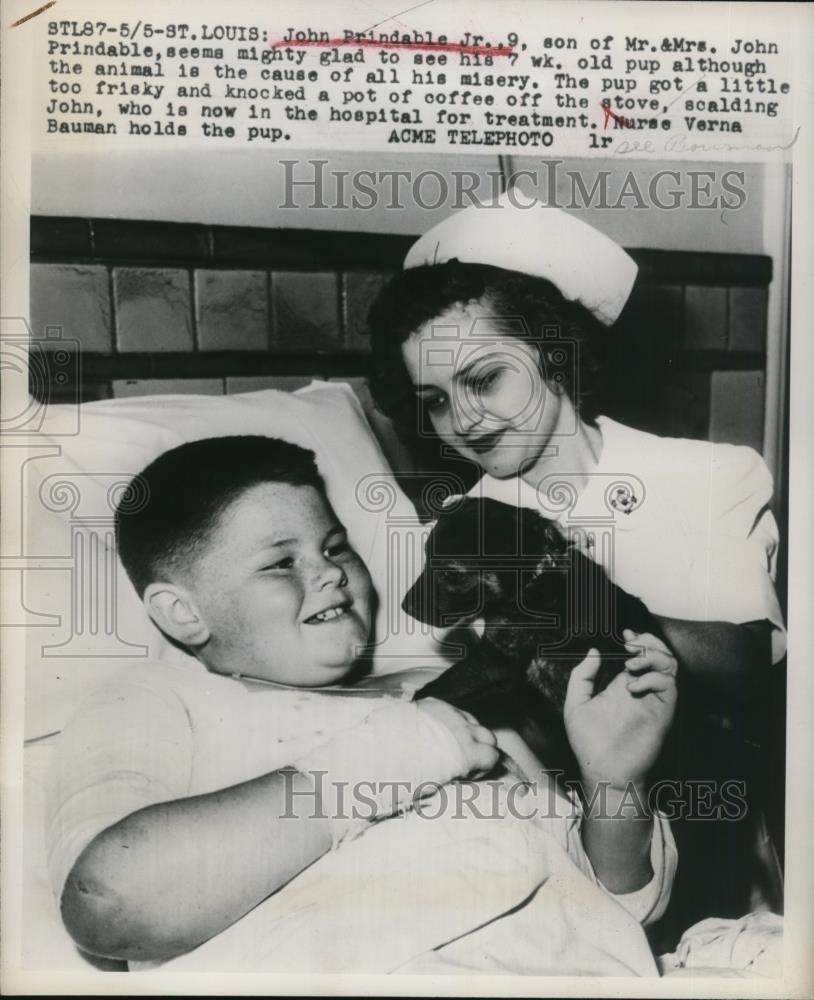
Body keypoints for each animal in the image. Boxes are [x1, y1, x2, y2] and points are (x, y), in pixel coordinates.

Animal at [404, 496, 668, 752]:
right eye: (425, 556)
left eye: (451, 574)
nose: (404, 607)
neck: (536, 574)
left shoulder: (494, 660)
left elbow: (442, 685)